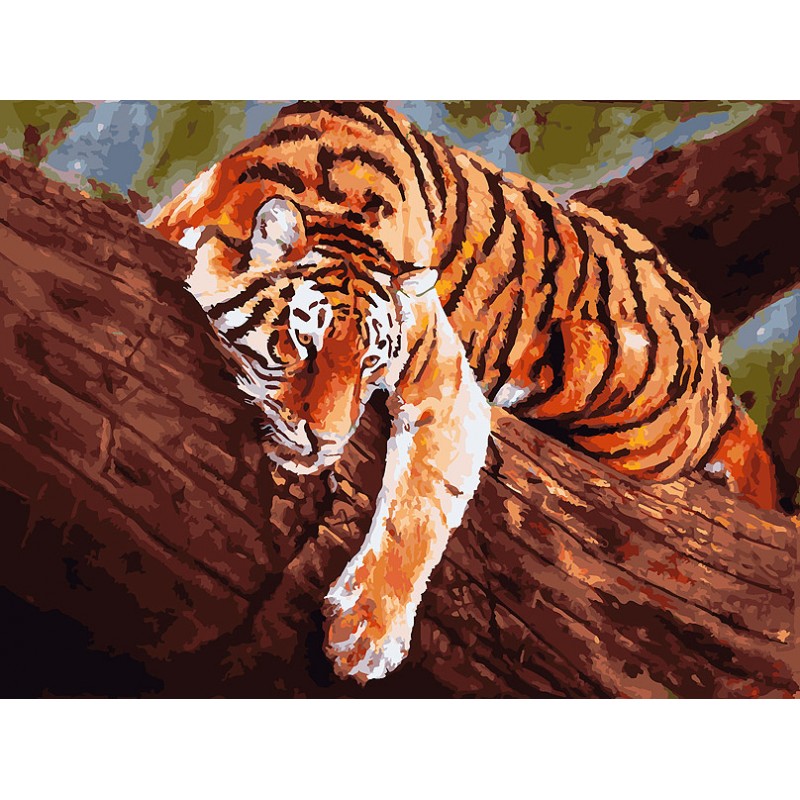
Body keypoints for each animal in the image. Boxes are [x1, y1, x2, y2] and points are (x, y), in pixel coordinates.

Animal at [147, 100, 779, 683]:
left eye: (371, 363)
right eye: (303, 343)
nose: (326, 442)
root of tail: (720, 373)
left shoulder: (446, 378)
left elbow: (420, 504)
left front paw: (365, 634)